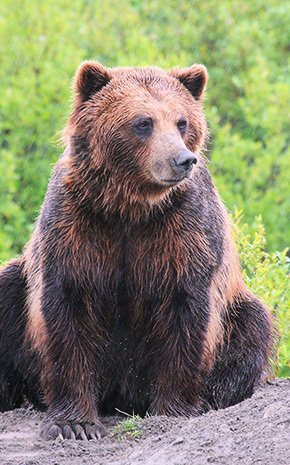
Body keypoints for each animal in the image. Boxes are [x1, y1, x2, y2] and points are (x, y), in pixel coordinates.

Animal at [0, 60, 272, 438]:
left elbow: (186, 310)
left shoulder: (183, 231)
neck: (131, 206)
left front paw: (174, 409)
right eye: (143, 122)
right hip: (17, 287)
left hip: (237, 310)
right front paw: (76, 423)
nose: (182, 159)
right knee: (7, 293)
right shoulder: (78, 224)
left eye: (181, 121)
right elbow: (66, 310)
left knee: (252, 324)